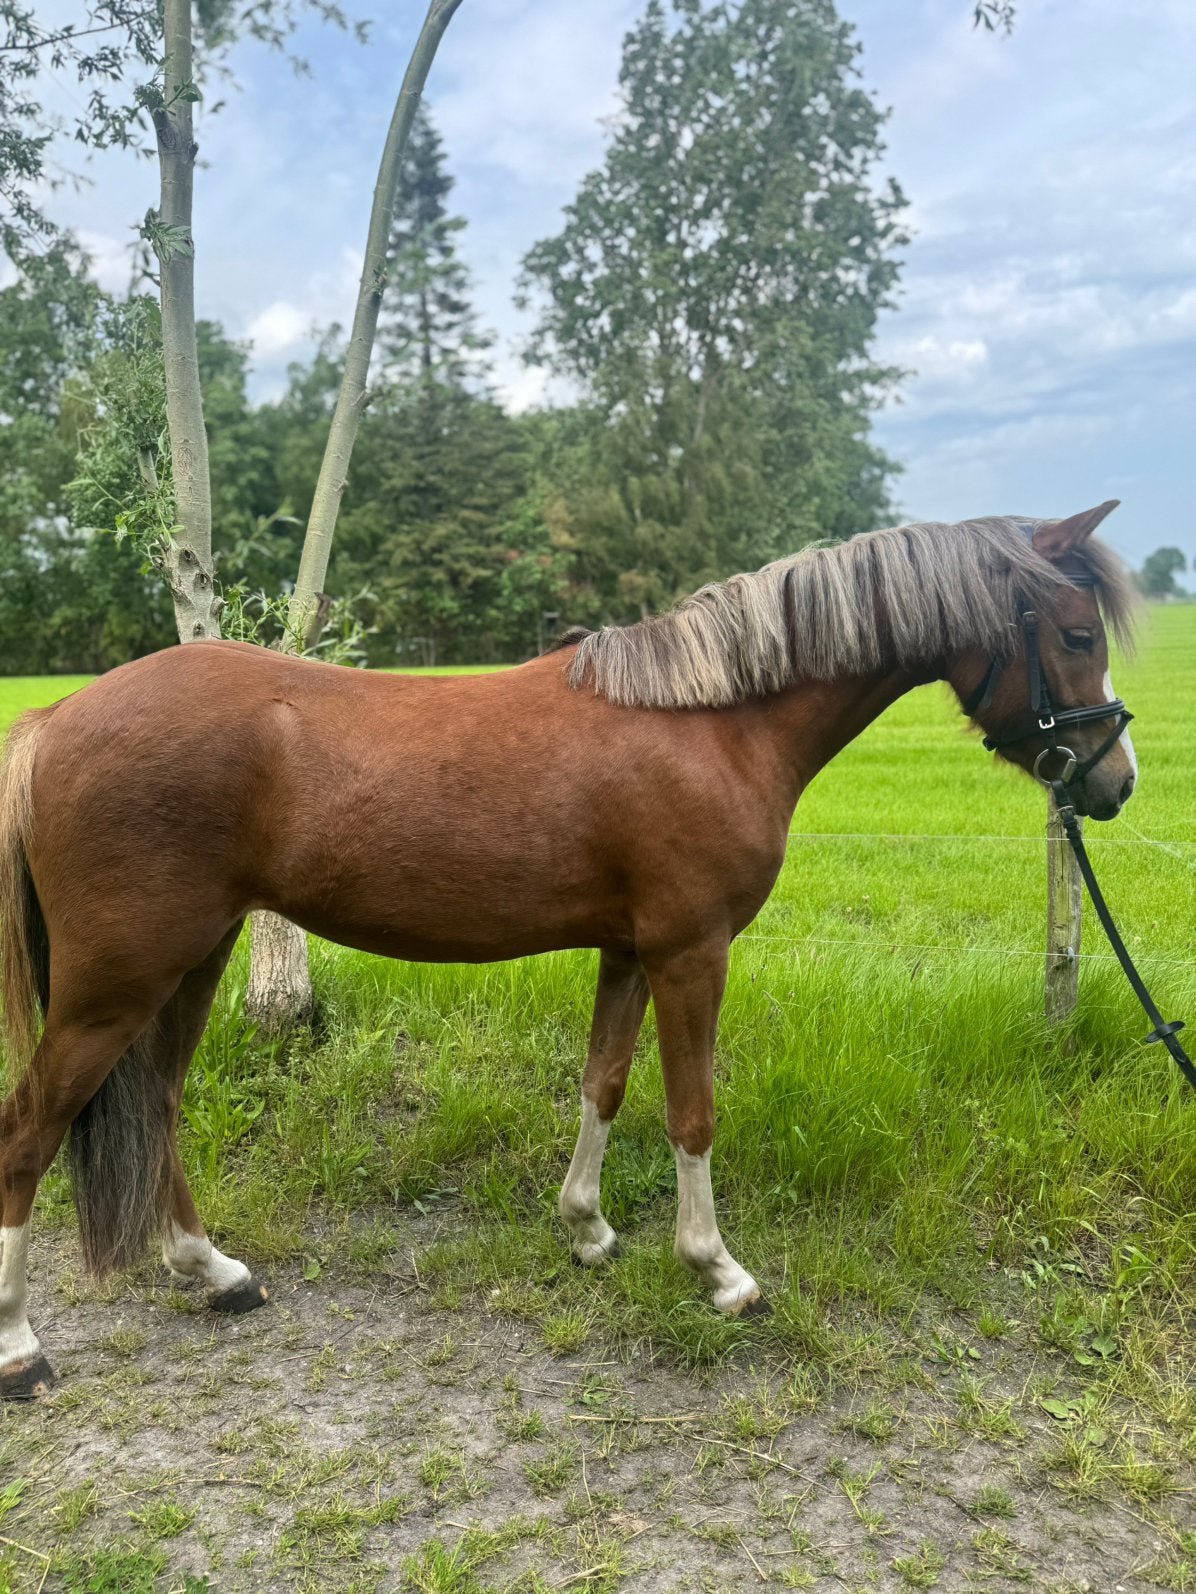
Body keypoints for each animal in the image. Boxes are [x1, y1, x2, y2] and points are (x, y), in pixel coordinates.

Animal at [0, 502, 1138, 1398]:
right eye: (1077, 631)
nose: (1114, 781)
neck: (713, 722)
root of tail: (53, 717)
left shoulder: (630, 952)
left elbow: (604, 1083)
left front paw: (587, 1229)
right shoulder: (690, 953)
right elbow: (690, 1112)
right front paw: (717, 1270)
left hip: (187, 963)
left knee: (155, 1103)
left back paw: (215, 1272)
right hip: (118, 981)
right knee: (31, 1127)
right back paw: (21, 1347)